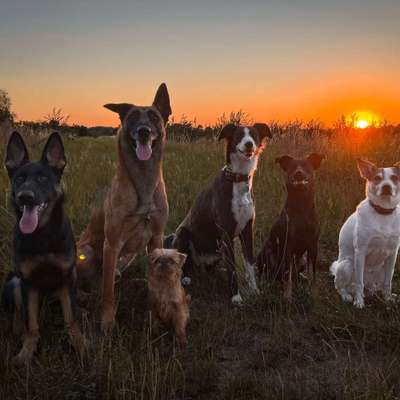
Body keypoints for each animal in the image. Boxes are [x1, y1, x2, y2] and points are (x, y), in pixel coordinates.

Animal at [1, 132, 85, 366]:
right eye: (19, 179)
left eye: (43, 179)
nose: (25, 196)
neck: (43, 235)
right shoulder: (28, 282)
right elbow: (31, 324)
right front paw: (26, 352)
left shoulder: (66, 277)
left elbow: (71, 318)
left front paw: (79, 344)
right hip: (14, 281)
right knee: (19, 313)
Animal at [77, 82, 172, 332]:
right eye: (132, 118)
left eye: (154, 117)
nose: (143, 131)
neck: (143, 182)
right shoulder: (111, 244)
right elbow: (108, 293)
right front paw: (107, 322)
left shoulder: (156, 237)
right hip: (87, 251)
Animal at [166, 122, 272, 304]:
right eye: (238, 135)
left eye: (254, 135)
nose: (249, 144)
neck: (237, 178)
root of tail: (199, 264)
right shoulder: (226, 233)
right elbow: (233, 269)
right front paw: (236, 297)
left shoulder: (247, 230)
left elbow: (249, 264)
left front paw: (254, 290)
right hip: (182, 233)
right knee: (183, 265)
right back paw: (185, 278)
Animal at [256, 155, 324, 298]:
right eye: (292, 167)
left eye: (306, 167)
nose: (299, 173)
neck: (302, 207)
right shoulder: (288, 246)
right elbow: (288, 275)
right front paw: (287, 296)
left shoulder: (313, 245)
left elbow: (312, 272)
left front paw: (313, 292)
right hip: (267, 254)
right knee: (270, 273)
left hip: (301, 259)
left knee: (295, 273)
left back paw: (301, 277)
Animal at [330, 158, 400, 308]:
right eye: (377, 178)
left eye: (394, 178)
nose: (386, 187)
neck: (383, 213)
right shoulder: (361, 250)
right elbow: (359, 282)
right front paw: (359, 301)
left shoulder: (393, 253)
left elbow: (388, 282)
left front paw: (388, 298)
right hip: (346, 265)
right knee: (340, 286)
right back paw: (347, 296)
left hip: (381, 269)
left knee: (377, 286)